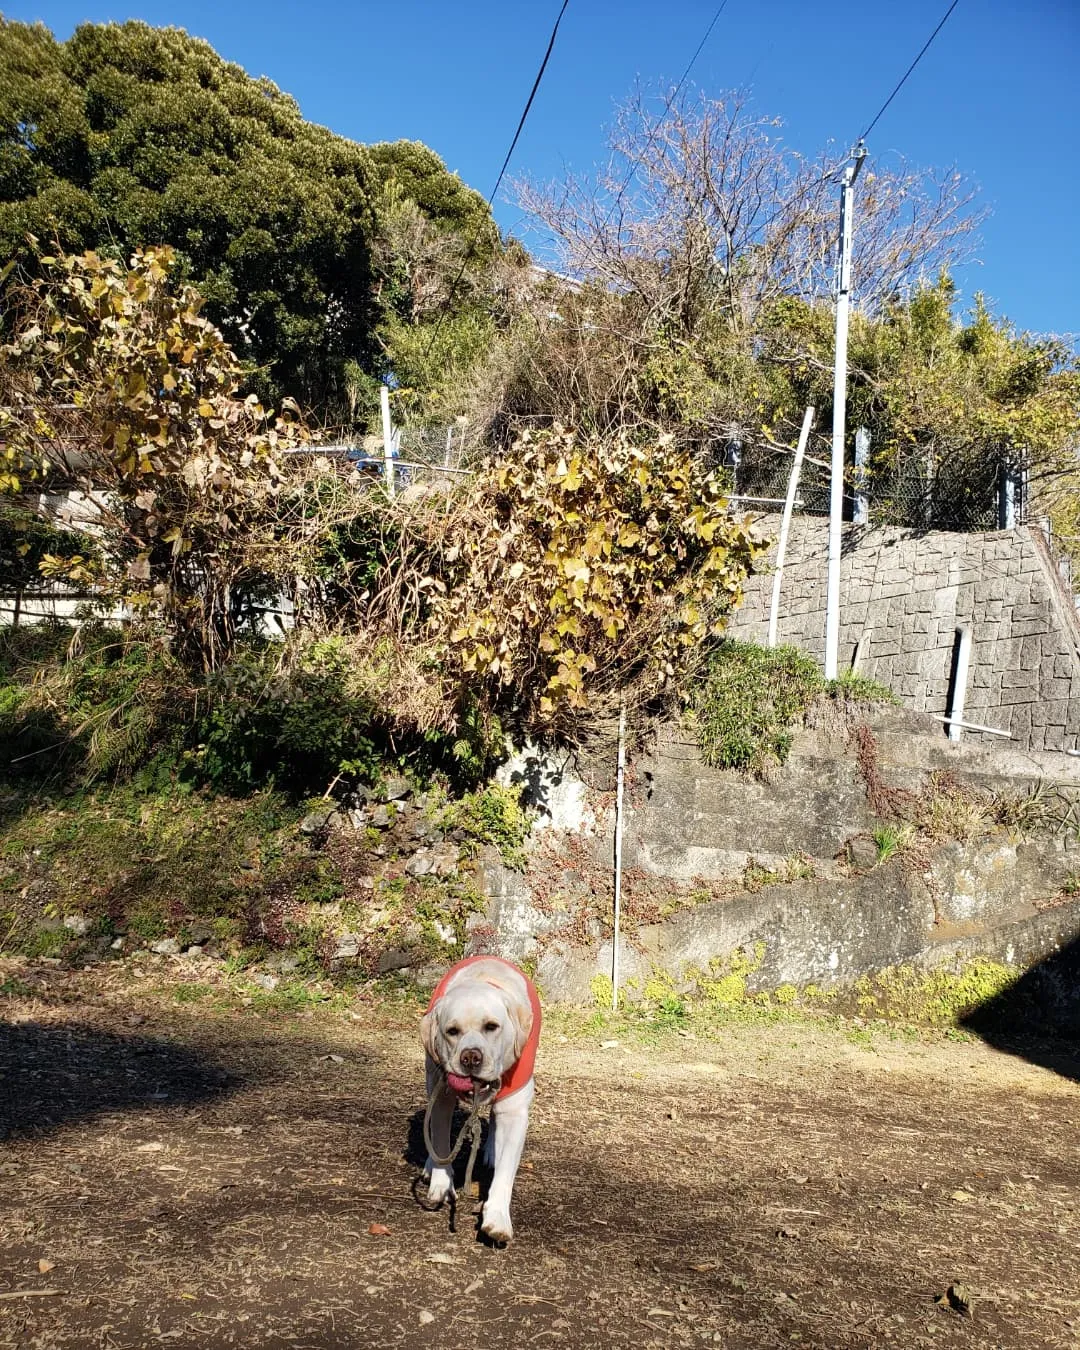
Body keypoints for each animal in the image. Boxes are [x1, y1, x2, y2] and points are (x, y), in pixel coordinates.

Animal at [418, 955, 540, 1236]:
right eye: (452, 1031)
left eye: (491, 1027)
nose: (471, 1056)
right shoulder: (441, 1095)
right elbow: (440, 1139)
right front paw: (442, 1182)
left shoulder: (515, 1110)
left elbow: (505, 1171)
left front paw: (497, 1217)